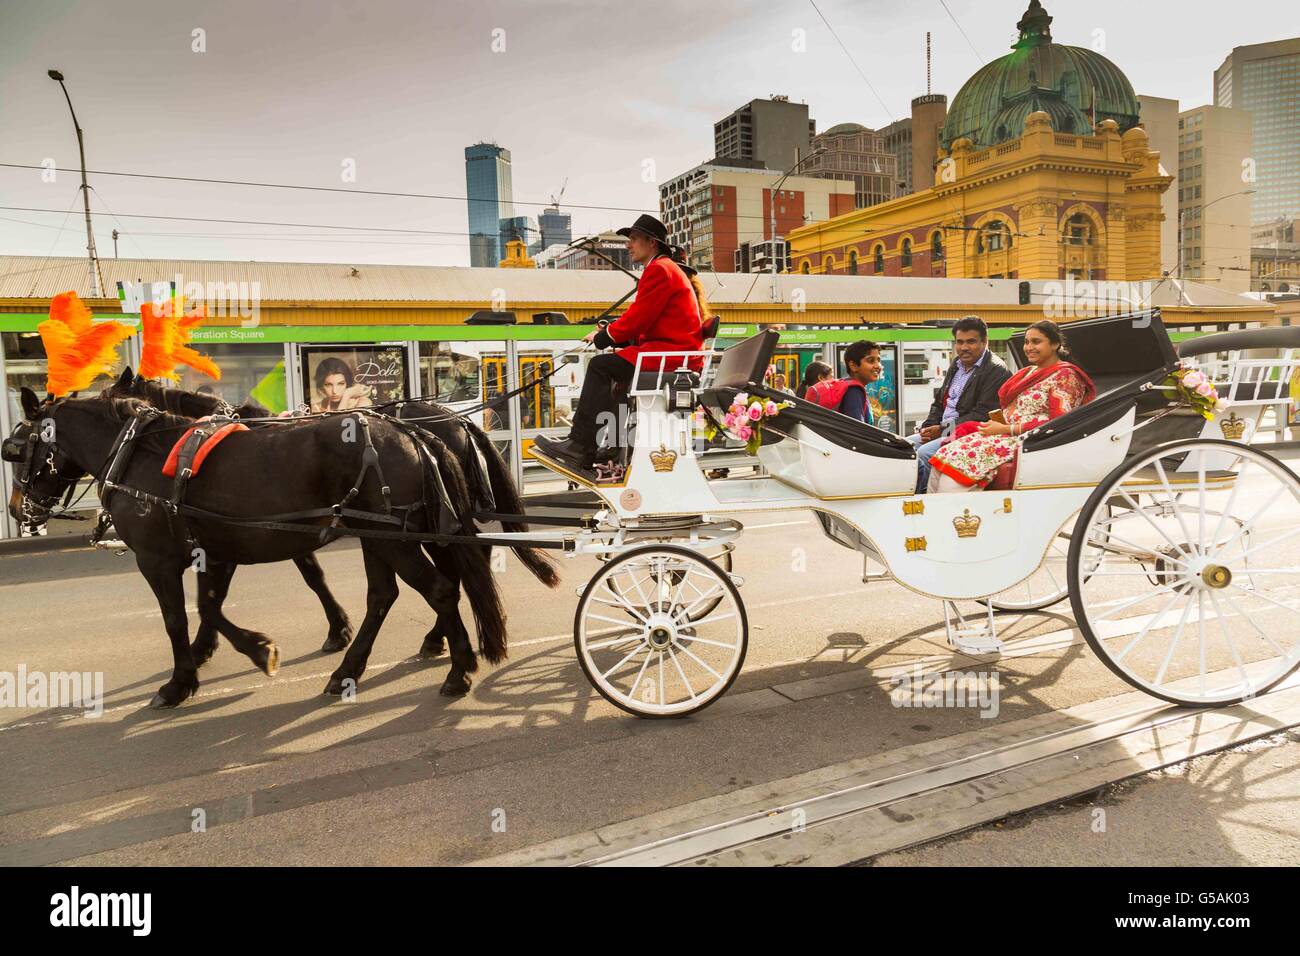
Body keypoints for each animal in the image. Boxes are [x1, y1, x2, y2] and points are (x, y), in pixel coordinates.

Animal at [7, 390, 509, 712]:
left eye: (12, 449)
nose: (19, 510)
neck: (141, 455)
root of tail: (410, 430)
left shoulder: (157, 560)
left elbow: (177, 618)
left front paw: (182, 681)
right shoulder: (216, 549)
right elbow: (209, 607)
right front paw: (247, 648)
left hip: (393, 537)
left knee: (441, 589)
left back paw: (459, 668)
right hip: (382, 535)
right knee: (388, 595)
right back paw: (351, 670)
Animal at [106, 369, 559, 660]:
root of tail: (455, 423)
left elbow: (302, 578)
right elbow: (309, 575)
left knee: (460, 567)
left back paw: (439, 639)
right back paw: (439, 638)